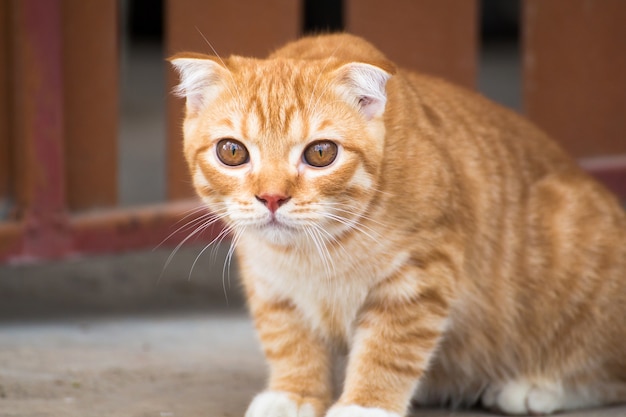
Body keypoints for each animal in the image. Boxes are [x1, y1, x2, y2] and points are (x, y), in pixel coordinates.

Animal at [167, 34, 624, 414]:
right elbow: (287, 338)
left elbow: (388, 348)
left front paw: (364, 405)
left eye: (320, 153)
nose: (272, 197)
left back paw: (536, 388)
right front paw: (294, 394)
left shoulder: (419, 277)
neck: (313, 253)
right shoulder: (268, 279)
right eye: (232, 152)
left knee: (607, 374)